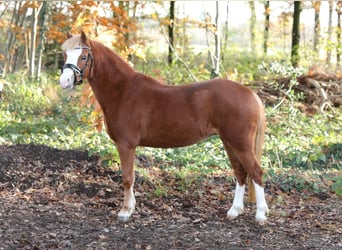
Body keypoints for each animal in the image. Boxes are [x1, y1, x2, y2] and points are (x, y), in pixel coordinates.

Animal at [60, 31, 268, 225]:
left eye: (83, 56)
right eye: (65, 54)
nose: (64, 82)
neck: (123, 91)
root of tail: (249, 93)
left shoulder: (126, 145)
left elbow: (127, 177)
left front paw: (125, 211)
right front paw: (131, 207)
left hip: (239, 143)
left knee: (256, 171)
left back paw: (260, 215)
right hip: (228, 142)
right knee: (240, 172)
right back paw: (234, 211)